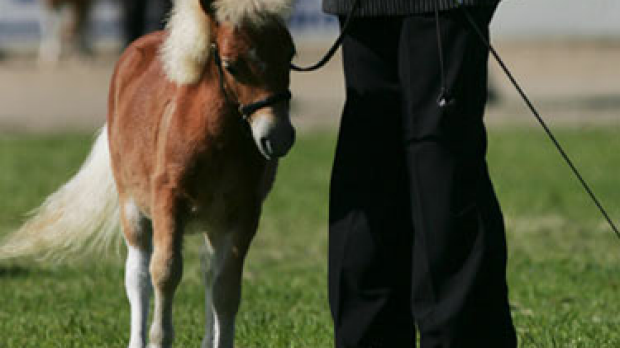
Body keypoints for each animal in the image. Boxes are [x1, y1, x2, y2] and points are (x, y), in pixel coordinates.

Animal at [0, 0, 296, 348]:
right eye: (231, 65)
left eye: (290, 55)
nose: (278, 136)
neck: (216, 139)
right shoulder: (168, 202)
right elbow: (164, 272)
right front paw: (159, 338)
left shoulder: (244, 212)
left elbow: (226, 288)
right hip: (132, 207)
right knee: (138, 274)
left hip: (212, 220)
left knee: (208, 269)